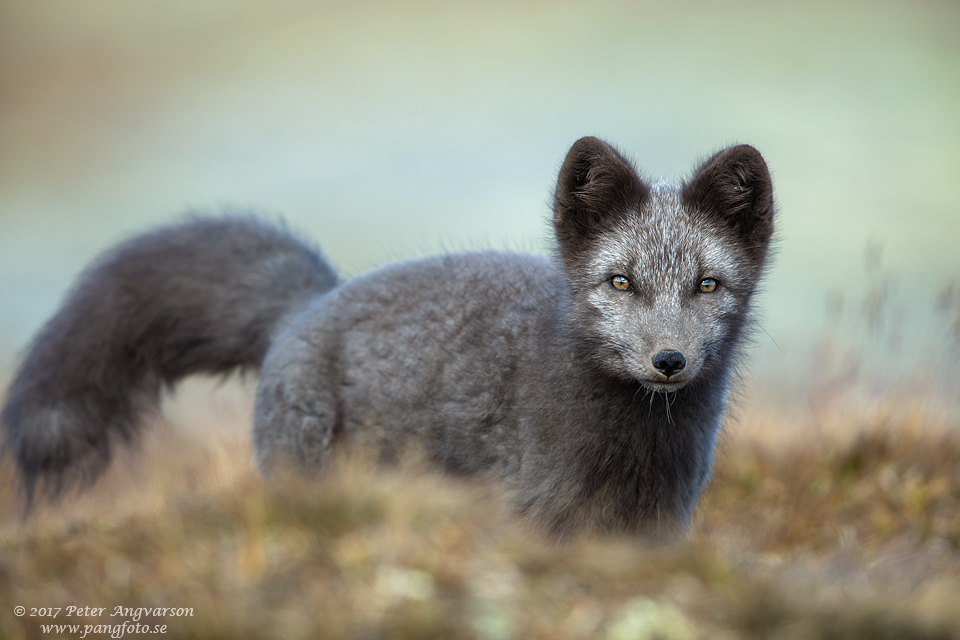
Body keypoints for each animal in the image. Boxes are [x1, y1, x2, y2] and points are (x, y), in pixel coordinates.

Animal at [0, 138, 772, 536]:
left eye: (707, 284)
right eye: (620, 282)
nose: (668, 360)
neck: (636, 448)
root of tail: (308, 304)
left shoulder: (658, 529)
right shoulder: (533, 517)